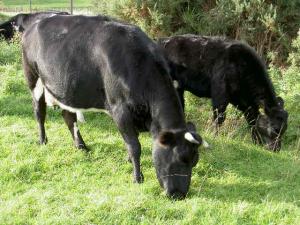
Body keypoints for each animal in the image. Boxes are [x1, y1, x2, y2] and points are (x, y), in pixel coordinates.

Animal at [22, 14, 209, 198]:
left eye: (194, 161)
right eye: (178, 158)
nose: (179, 195)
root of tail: (36, 22)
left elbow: (131, 142)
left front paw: (129, 161)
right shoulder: (120, 110)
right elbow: (135, 146)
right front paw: (137, 177)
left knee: (69, 117)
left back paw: (81, 146)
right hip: (33, 79)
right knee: (39, 113)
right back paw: (43, 141)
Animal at [157, 34, 288, 151]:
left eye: (284, 129)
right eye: (275, 129)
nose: (276, 149)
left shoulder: (244, 102)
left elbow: (252, 121)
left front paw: (257, 143)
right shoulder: (220, 93)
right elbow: (219, 116)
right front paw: (215, 136)